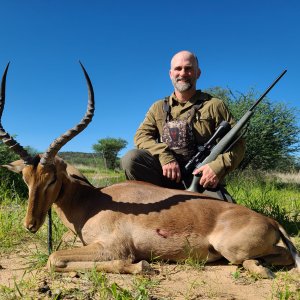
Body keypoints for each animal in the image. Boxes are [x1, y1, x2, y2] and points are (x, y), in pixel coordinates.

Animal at [0, 63, 298, 278]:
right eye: (26, 179)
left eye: (51, 179)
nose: (30, 225)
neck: (92, 202)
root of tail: (271, 221)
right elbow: (56, 256)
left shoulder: (112, 248)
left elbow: (54, 258)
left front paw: (140, 266)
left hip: (231, 249)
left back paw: (259, 269)